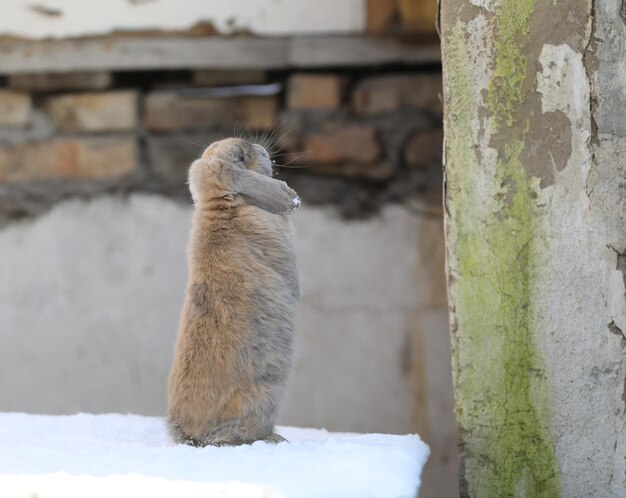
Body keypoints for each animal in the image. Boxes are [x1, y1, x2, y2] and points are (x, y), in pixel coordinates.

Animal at [168, 137, 300, 448]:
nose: (260, 147)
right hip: (264, 396)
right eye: (241, 157)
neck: (224, 206)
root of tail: (189, 434)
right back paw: (275, 439)